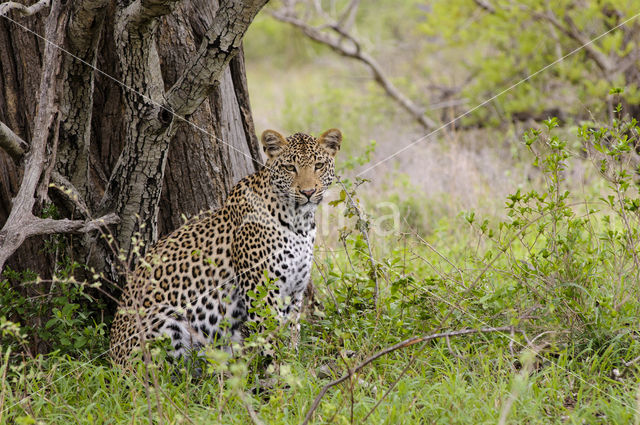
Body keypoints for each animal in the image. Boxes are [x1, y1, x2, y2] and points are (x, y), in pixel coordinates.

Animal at [110, 127, 342, 366]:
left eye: (318, 165)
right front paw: (278, 370)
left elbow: (292, 332)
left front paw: (294, 365)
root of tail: (113, 360)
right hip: (165, 322)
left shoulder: (294, 292)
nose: (308, 192)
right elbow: (271, 338)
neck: (300, 223)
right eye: (289, 167)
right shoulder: (261, 292)